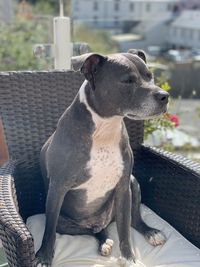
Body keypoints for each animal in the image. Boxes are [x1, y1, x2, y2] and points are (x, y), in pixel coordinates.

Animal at [36, 49, 169, 266]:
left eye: (150, 76)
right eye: (128, 81)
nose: (165, 96)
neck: (105, 128)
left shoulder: (123, 187)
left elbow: (124, 232)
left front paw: (129, 259)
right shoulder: (57, 188)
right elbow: (49, 233)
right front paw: (43, 257)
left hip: (133, 184)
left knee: (133, 220)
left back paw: (150, 232)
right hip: (64, 221)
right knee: (89, 230)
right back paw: (104, 241)